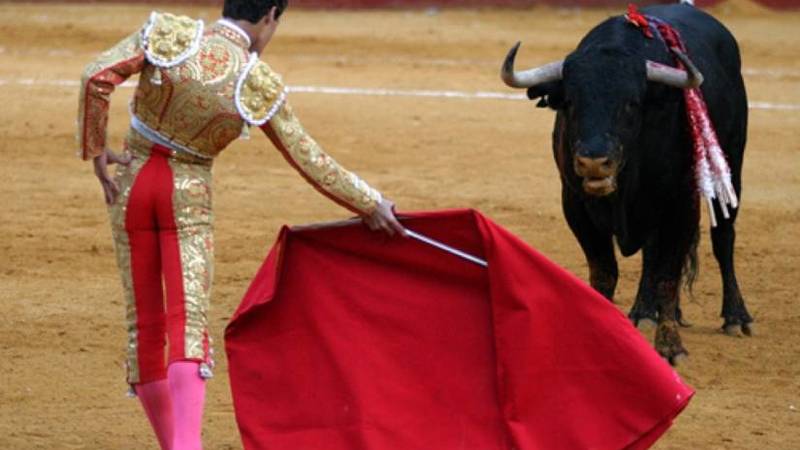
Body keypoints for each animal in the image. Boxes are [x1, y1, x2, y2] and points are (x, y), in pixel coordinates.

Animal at [501, 3, 752, 363]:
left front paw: (671, 347)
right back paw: (645, 312)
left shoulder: (681, 203)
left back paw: (735, 316)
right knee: (652, 252)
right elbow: (606, 273)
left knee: (723, 238)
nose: (594, 161)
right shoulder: (575, 204)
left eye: (632, 103)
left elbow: (668, 275)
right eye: (570, 102)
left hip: (731, 165)